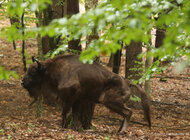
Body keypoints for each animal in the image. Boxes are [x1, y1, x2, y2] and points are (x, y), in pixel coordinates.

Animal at [21, 54, 151, 132]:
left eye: (33, 71)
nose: (22, 82)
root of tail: (127, 81)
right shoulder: (77, 100)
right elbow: (75, 114)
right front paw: (75, 128)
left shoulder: (69, 98)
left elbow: (65, 112)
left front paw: (63, 126)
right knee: (126, 113)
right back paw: (119, 130)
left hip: (110, 102)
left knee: (128, 112)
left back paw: (122, 131)